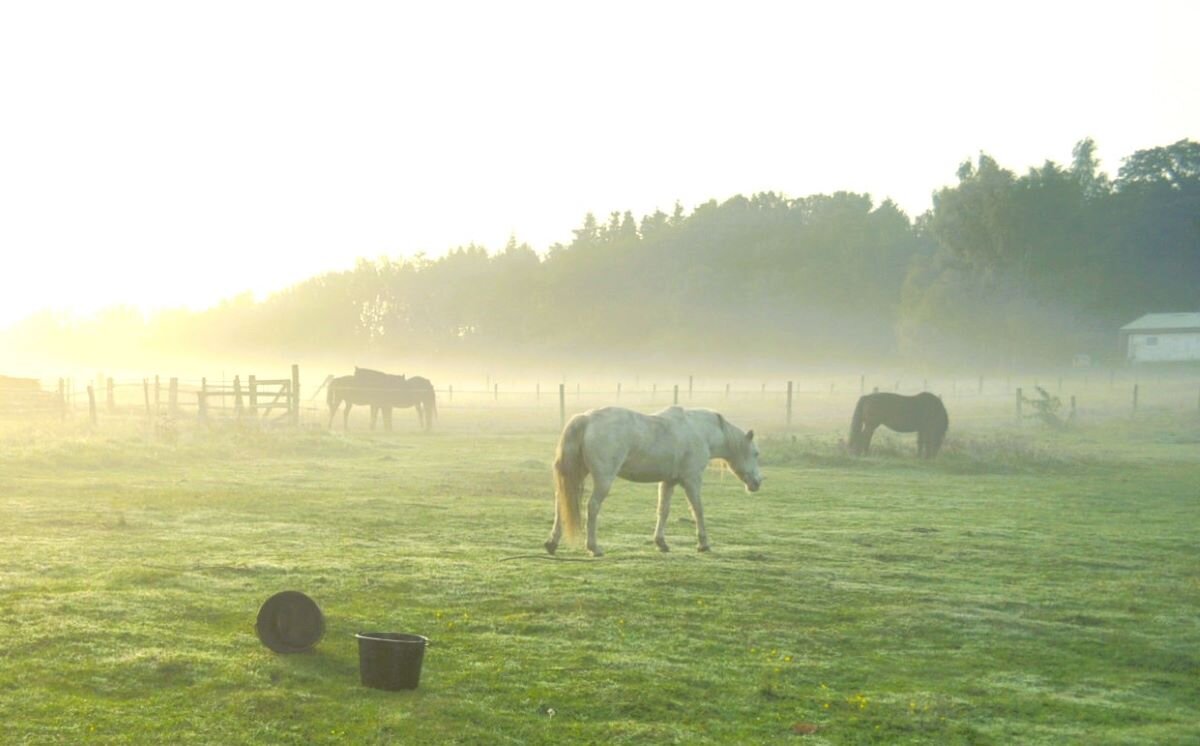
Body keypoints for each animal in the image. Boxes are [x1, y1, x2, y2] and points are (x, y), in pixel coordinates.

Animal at [544, 405, 758, 558]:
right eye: (756, 453)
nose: (757, 483)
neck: (700, 431)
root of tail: (586, 418)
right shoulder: (691, 480)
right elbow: (698, 510)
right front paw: (703, 544)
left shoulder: (668, 481)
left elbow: (663, 511)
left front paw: (661, 543)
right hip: (603, 479)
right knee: (593, 506)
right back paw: (594, 547)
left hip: (577, 474)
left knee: (561, 502)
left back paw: (552, 543)